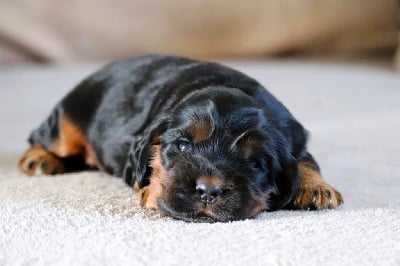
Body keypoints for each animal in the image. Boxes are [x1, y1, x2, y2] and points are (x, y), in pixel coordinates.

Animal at [19, 55, 344, 222]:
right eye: (183, 145)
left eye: (255, 164)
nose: (208, 191)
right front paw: (150, 190)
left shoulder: (296, 139)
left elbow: (305, 162)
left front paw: (317, 188)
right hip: (68, 117)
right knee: (44, 135)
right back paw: (39, 158)